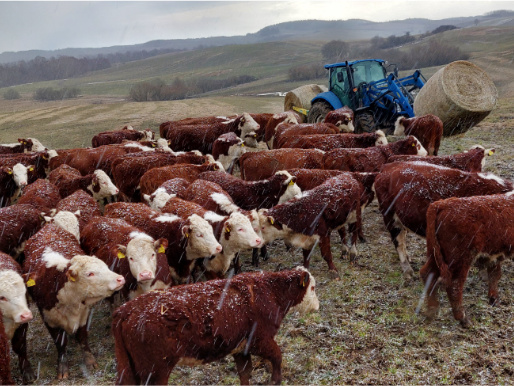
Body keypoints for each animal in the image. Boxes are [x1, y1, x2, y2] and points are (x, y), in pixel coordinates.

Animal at [0, 250, 34, 382]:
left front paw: (27, 372)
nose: (26, 315)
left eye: (25, 291)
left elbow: (20, 346)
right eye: (2, 297)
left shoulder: (21, 326)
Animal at [23, 225, 125, 378]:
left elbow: (82, 337)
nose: (120, 279)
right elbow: (60, 343)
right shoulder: (49, 318)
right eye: (90, 273)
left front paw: (90, 361)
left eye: (106, 266)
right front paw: (62, 368)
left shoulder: (83, 314)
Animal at [114, 266, 318, 384]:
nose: (317, 306)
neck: (270, 291)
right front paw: (276, 380)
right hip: (155, 371)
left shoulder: (241, 349)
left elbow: (245, 373)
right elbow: (277, 357)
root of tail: (125, 310)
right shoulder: (260, 340)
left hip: (128, 369)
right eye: (313, 287)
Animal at [420, 192, 512, 326]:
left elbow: (495, 274)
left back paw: (432, 311)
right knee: (455, 285)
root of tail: (441, 204)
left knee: (427, 274)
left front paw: (494, 299)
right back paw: (463, 319)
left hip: (435, 255)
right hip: (460, 259)